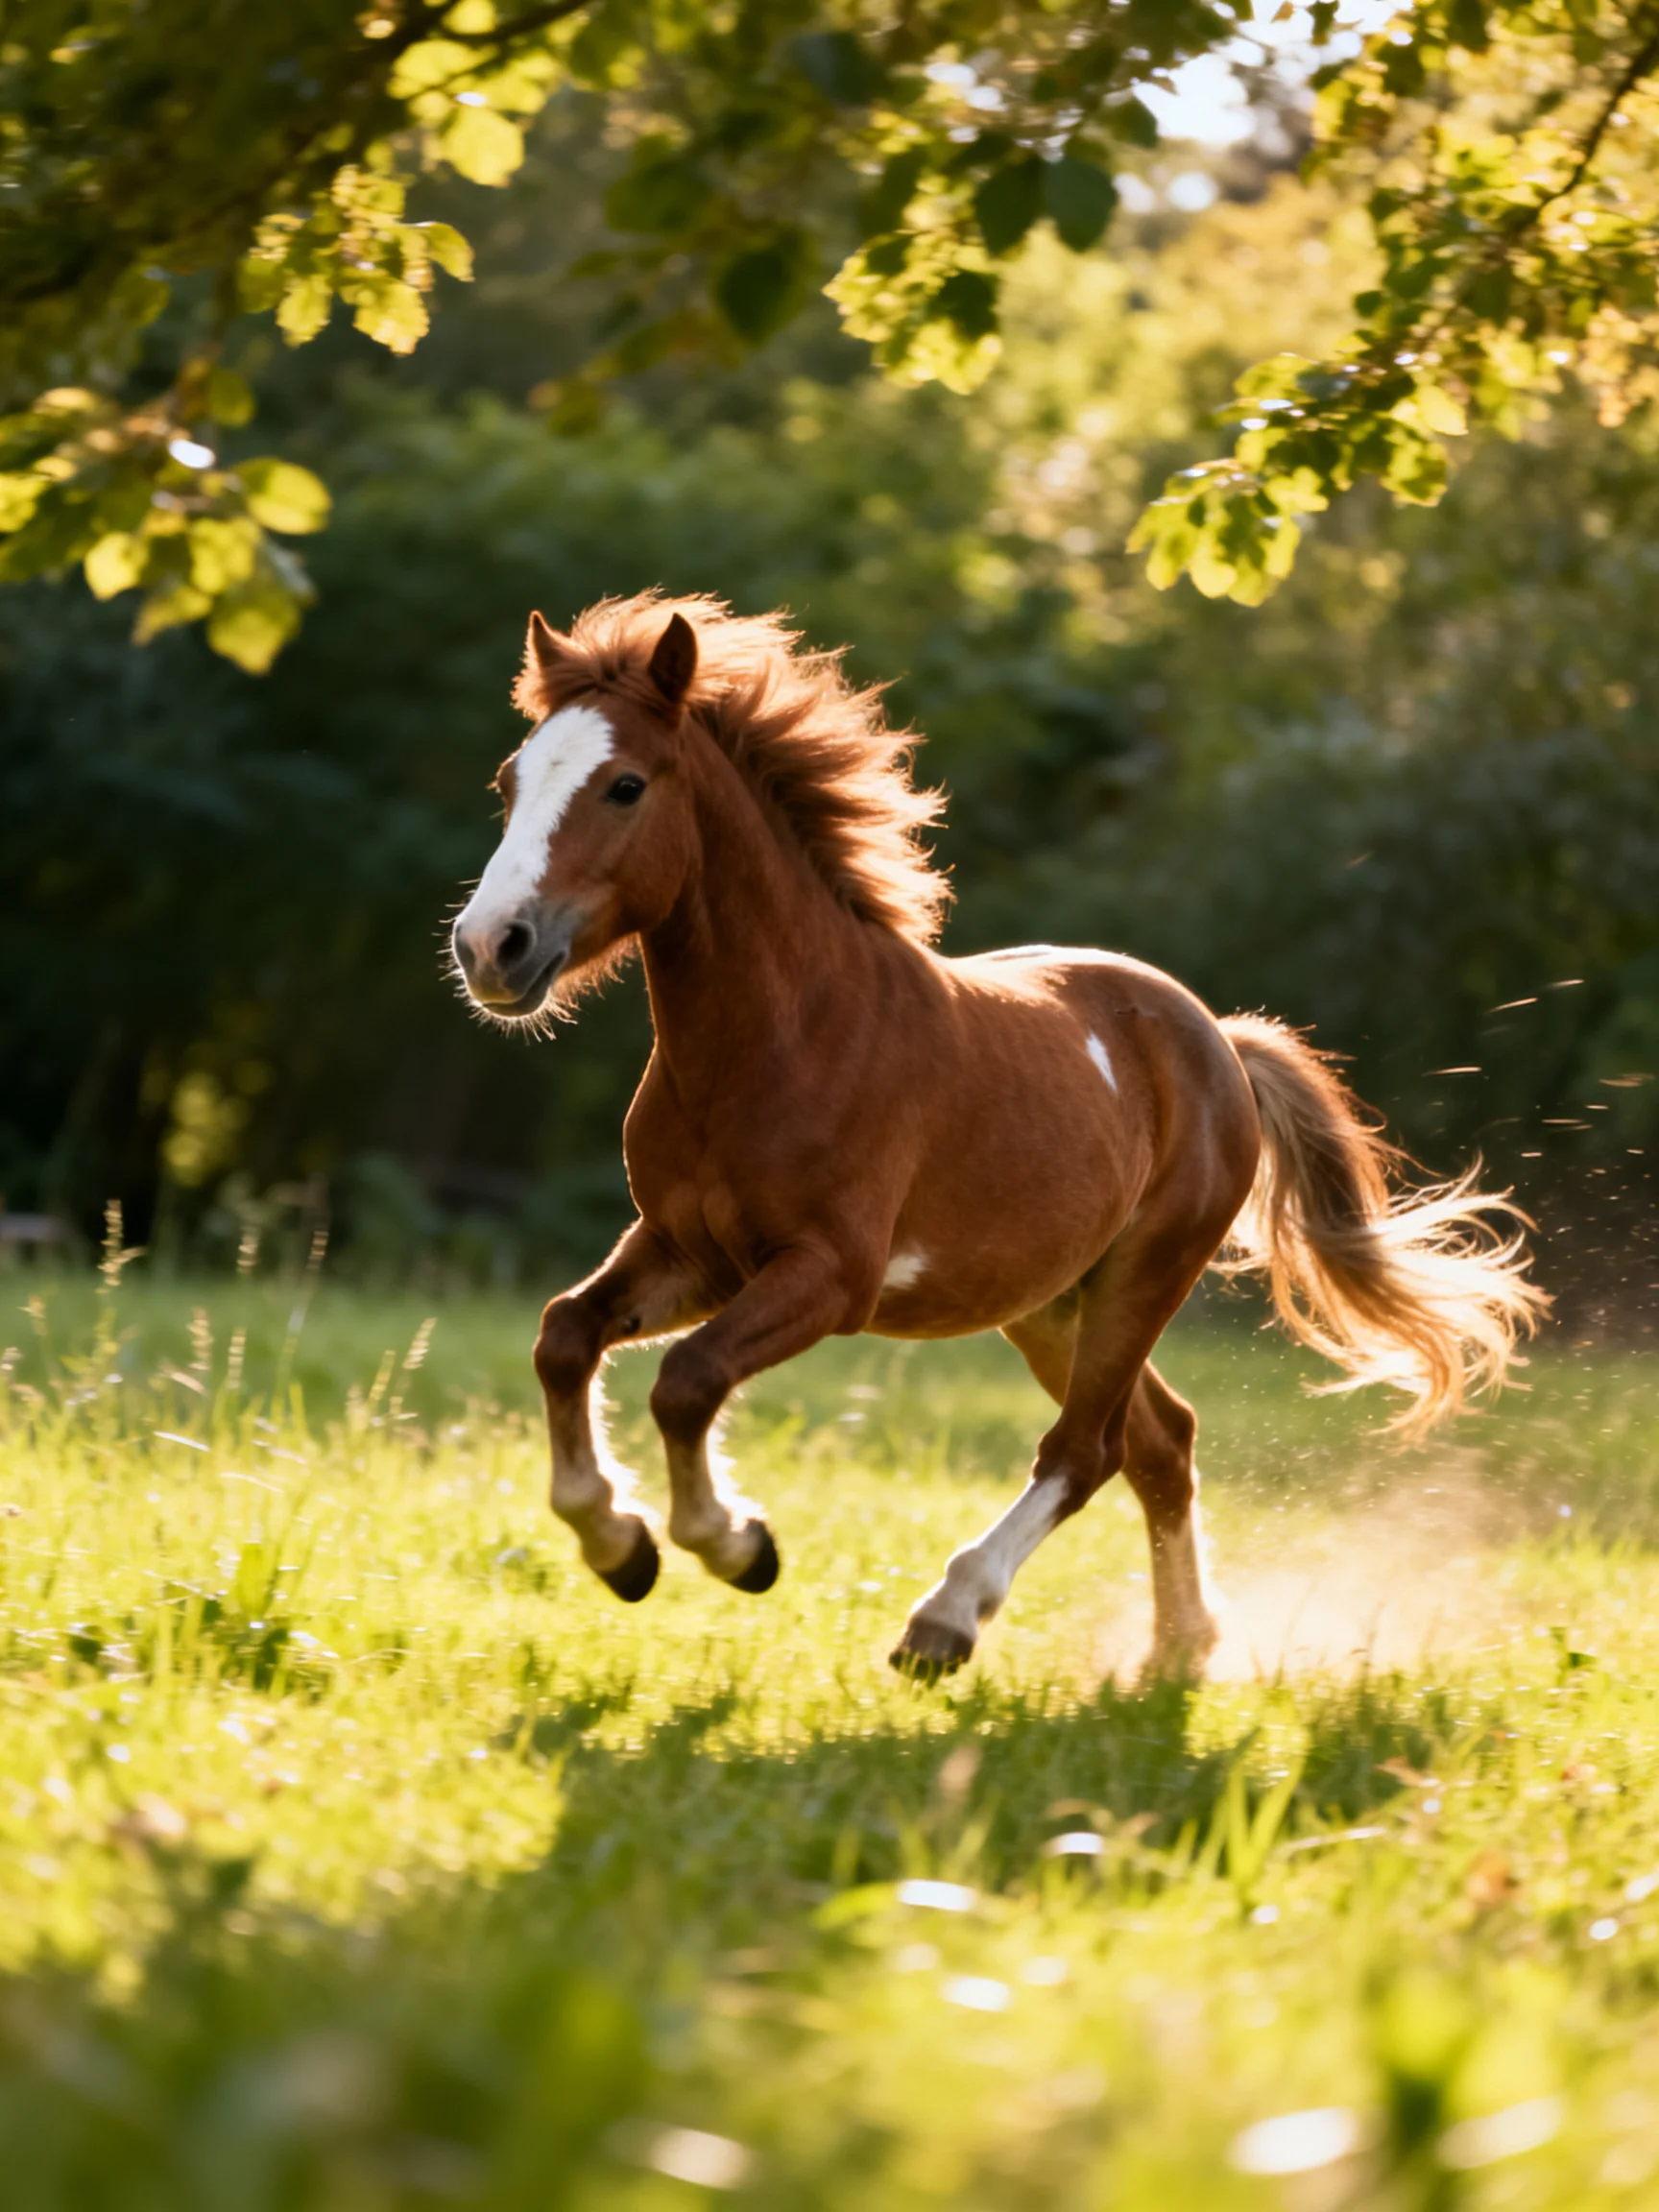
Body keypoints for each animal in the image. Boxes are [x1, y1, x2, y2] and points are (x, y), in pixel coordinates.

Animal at [450, 593, 1546, 1677]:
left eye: (625, 785)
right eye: (510, 781)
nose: (491, 946)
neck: (781, 1040)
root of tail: (1220, 1044)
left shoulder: (831, 1275)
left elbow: (688, 1381)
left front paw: (736, 1546)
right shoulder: (690, 1251)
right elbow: (565, 1335)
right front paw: (620, 1546)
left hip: (1144, 1275)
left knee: (1088, 1449)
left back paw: (946, 1622)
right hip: (1050, 1302)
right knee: (1161, 1442)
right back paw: (1177, 1652)